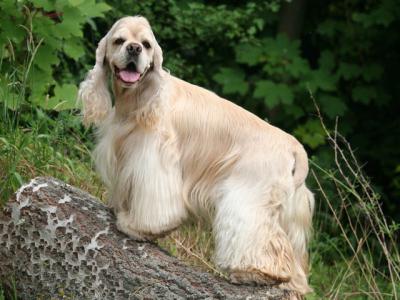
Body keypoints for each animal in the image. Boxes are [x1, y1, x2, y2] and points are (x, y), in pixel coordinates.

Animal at [79, 15, 316, 296]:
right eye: (119, 40)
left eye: (146, 45)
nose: (134, 49)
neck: (139, 97)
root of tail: (293, 146)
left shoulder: (153, 158)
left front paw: (137, 227)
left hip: (249, 197)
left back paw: (253, 273)